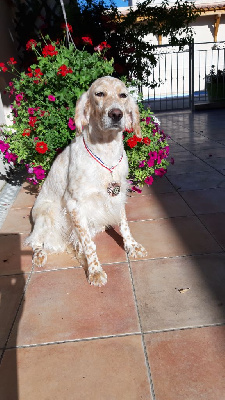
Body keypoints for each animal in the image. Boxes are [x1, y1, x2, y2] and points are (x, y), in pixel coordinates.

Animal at [25, 76, 147, 286]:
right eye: (99, 93)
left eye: (123, 95)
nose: (116, 114)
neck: (106, 154)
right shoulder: (75, 205)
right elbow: (89, 245)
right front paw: (95, 271)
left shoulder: (118, 194)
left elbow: (124, 225)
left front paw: (132, 246)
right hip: (47, 213)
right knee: (35, 241)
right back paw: (40, 255)